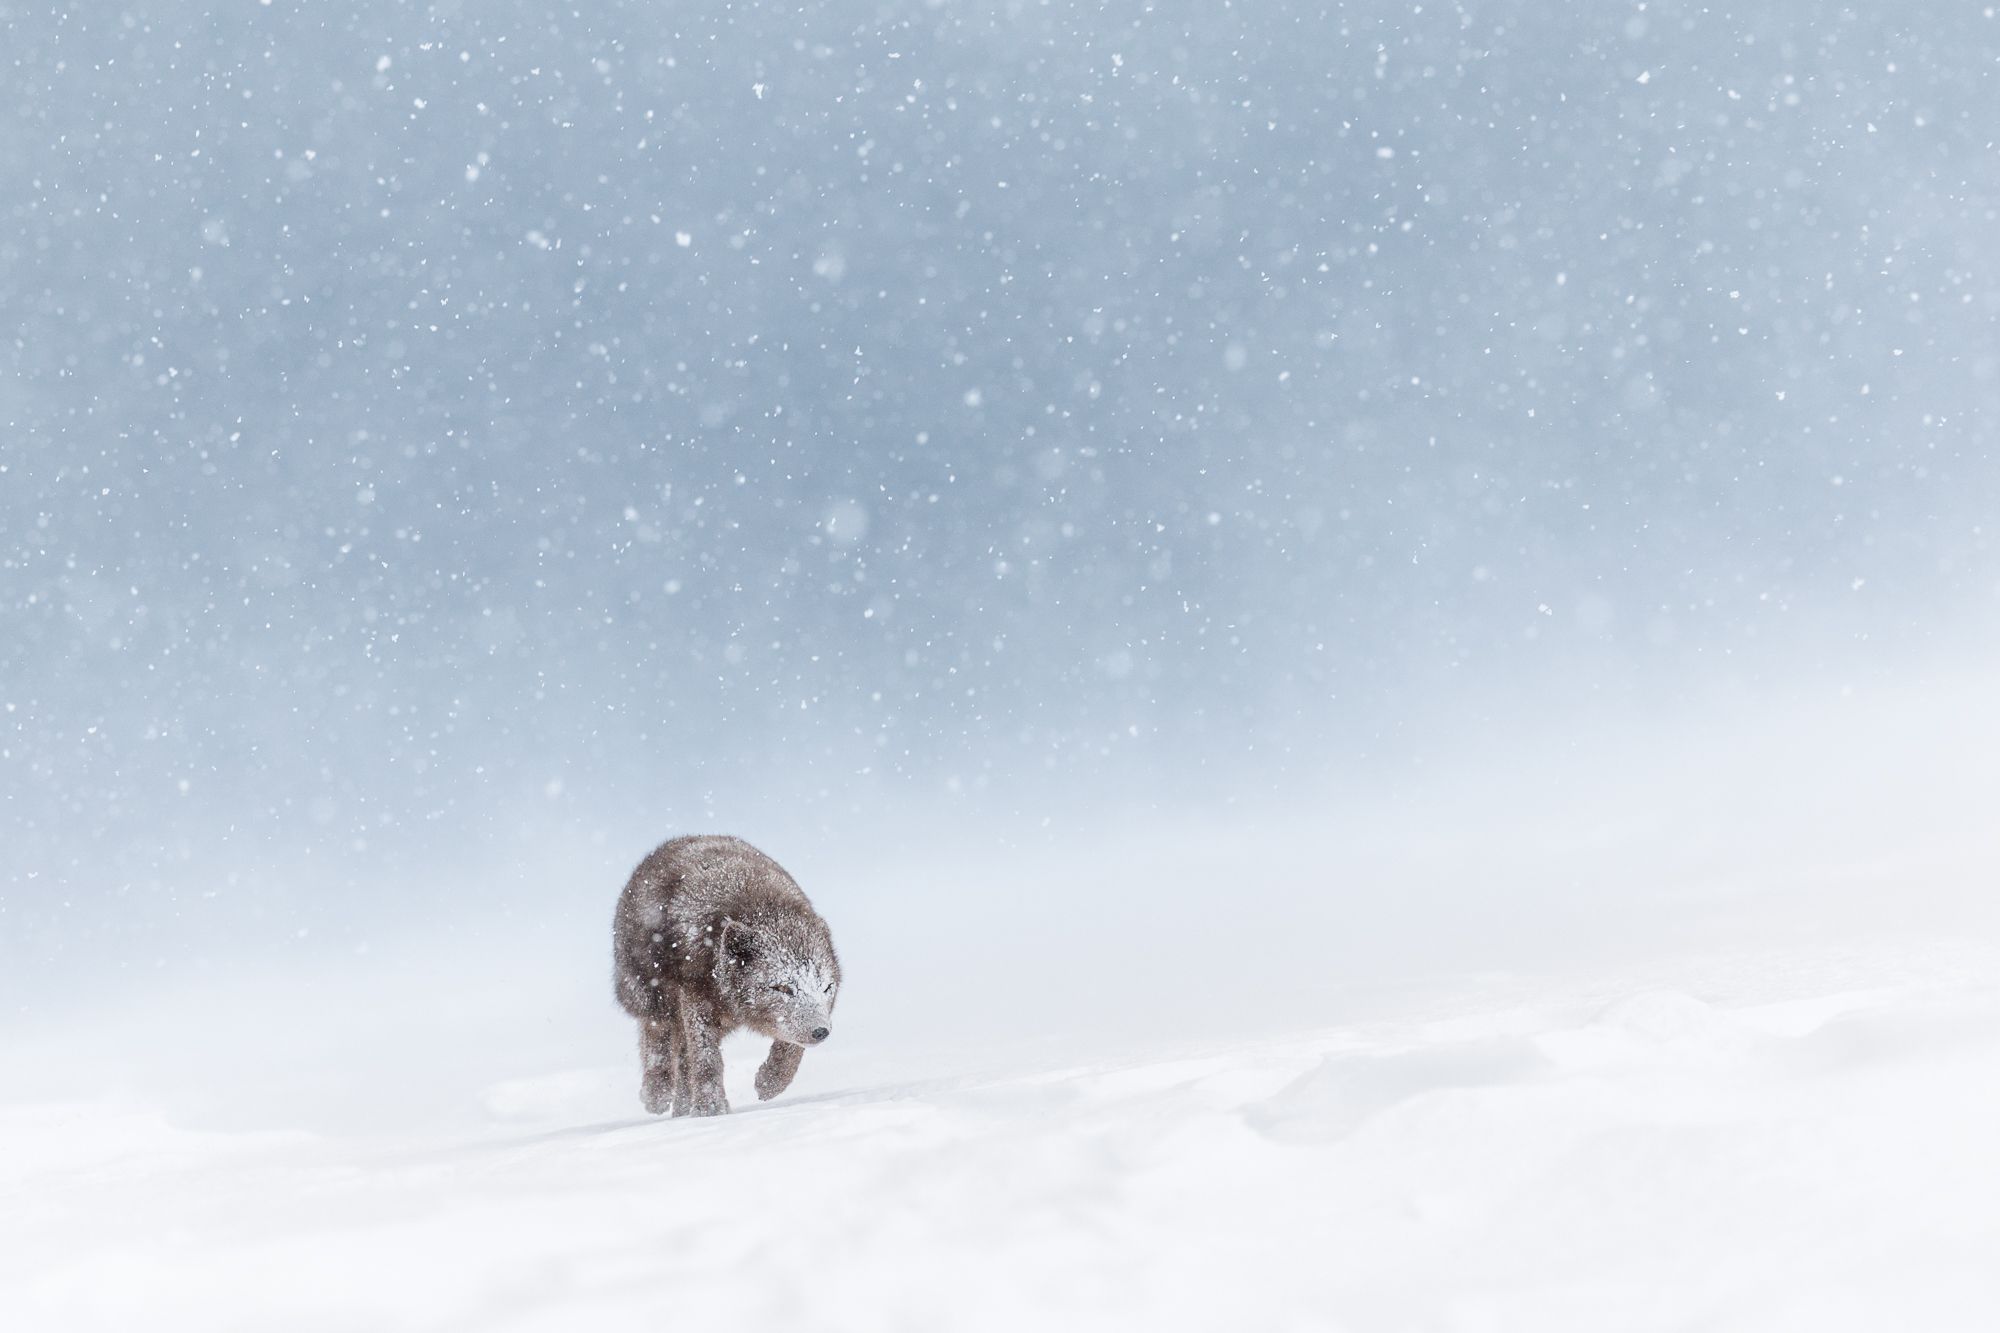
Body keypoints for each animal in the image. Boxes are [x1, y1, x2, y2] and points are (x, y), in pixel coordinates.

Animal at [612, 834, 841, 1116]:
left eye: (826, 987)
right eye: (782, 988)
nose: (821, 1032)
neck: (762, 905)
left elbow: (791, 1047)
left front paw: (770, 1082)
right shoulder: (694, 995)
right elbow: (706, 1057)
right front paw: (710, 1108)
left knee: (682, 1057)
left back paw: (681, 1109)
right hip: (651, 996)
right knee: (658, 1035)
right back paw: (656, 1094)